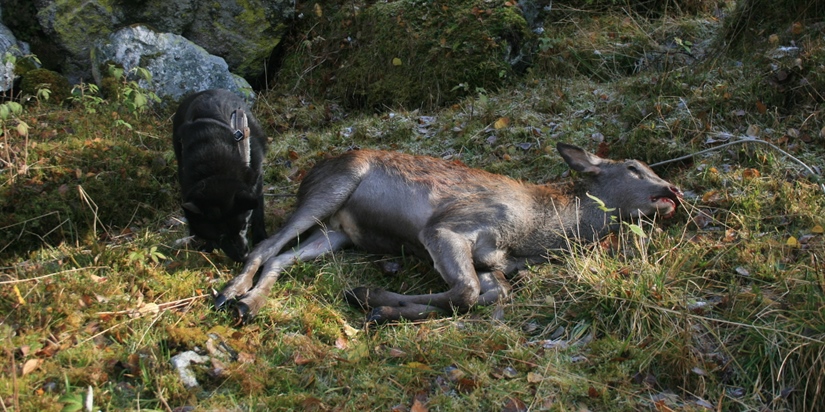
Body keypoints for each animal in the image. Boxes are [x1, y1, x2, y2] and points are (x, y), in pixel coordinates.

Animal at [172, 89, 266, 260]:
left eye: (243, 227)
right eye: (221, 236)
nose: (243, 257)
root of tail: (207, 91)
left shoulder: (256, 182)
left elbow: (258, 214)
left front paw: (261, 240)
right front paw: (207, 247)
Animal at [214, 143, 684, 324]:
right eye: (634, 167)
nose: (673, 191)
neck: (534, 235)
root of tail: (310, 171)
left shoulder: (493, 262)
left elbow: (485, 293)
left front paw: (376, 304)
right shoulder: (446, 227)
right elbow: (465, 292)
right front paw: (371, 298)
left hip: (337, 234)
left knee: (281, 256)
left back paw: (250, 304)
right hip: (330, 190)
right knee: (265, 244)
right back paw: (229, 294)